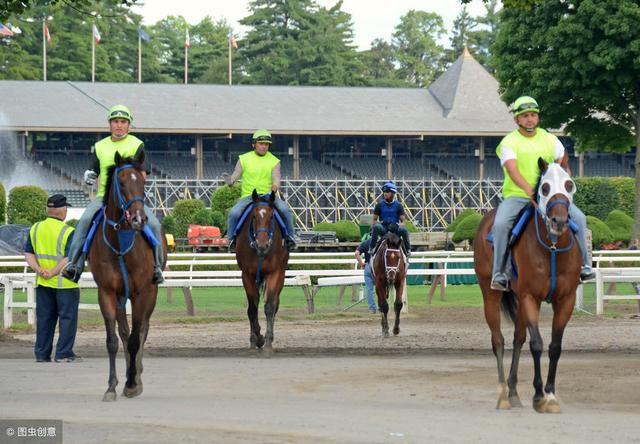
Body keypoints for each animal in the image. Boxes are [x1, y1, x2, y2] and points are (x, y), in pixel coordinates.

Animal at [89, 150, 166, 402]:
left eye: (143, 181)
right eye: (121, 183)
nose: (139, 219)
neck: (120, 245)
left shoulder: (142, 292)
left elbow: (135, 339)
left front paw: (132, 383)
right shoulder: (107, 292)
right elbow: (114, 340)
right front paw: (112, 386)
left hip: (150, 293)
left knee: (141, 332)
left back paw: (136, 375)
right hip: (122, 297)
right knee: (123, 332)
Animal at [235, 189, 290, 352]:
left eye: (271, 217)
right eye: (253, 216)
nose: (262, 244)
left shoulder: (274, 273)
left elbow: (270, 307)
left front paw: (268, 342)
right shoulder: (247, 274)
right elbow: (252, 309)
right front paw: (256, 339)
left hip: (281, 275)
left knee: (275, 304)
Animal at [472, 160, 584, 412]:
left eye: (569, 184)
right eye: (545, 187)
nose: (559, 221)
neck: (552, 248)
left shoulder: (566, 300)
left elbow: (554, 346)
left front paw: (550, 395)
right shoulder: (530, 297)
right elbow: (537, 344)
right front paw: (539, 395)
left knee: (517, 339)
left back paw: (513, 393)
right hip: (490, 294)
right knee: (498, 340)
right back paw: (503, 394)